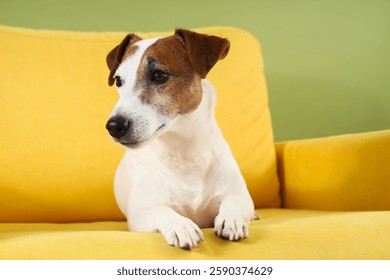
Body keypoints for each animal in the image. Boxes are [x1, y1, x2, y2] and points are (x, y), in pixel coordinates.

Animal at [105, 28, 258, 249]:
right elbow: (161, 210)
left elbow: (234, 201)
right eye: (118, 80)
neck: (183, 153)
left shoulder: (239, 196)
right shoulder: (139, 216)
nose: (114, 126)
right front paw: (181, 226)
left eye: (159, 75)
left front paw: (232, 219)